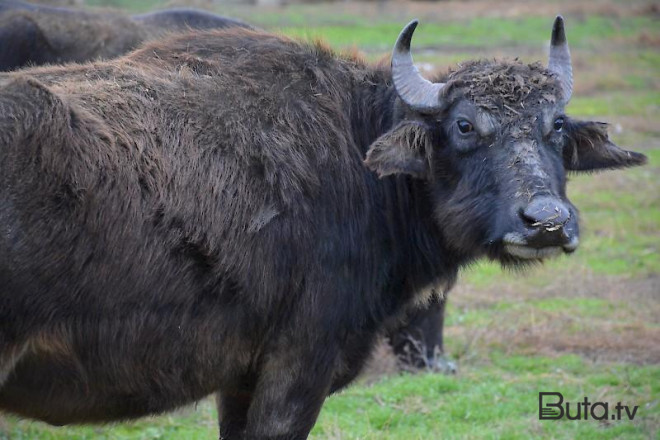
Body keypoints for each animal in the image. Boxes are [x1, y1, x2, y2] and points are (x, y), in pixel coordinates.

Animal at [0, 16, 644, 436]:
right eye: (464, 125)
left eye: (555, 125)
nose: (546, 222)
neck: (360, 163)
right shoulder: (297, 367)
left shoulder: (239, 378)